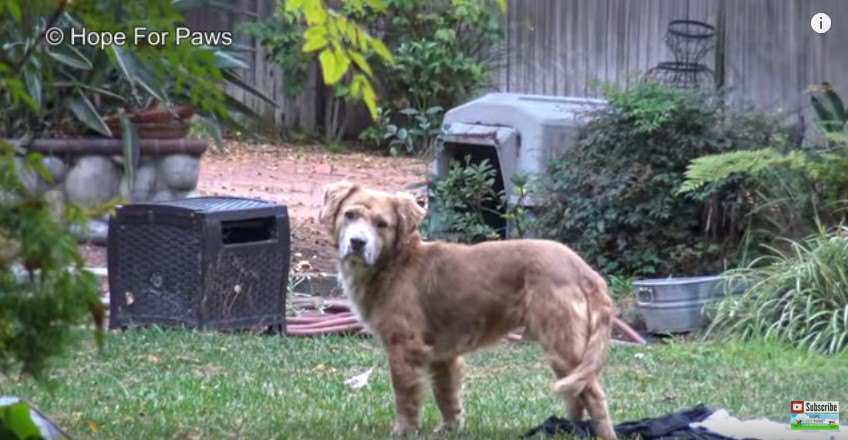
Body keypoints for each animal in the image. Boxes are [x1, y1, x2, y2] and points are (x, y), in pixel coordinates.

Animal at [318, 180, 616, 438]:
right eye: (349, 215)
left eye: (382, 224)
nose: (357, 243)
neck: (394, 263)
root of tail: (582, 268)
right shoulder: (443, 356)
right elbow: (447, 396)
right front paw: (450, 429)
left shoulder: (404, 347)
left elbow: (405, 397)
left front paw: (403, 431)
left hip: (563, 346)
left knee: (593, 394)